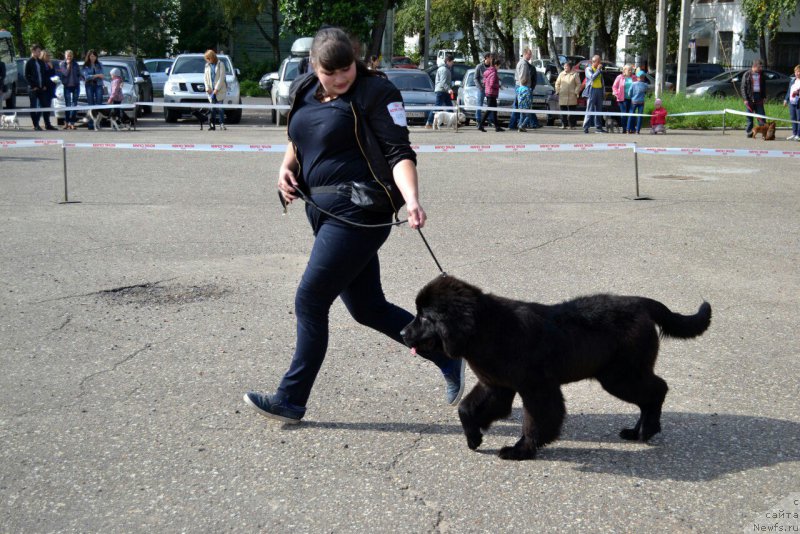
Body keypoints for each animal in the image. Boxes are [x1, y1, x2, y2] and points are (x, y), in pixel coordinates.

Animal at [400, 276, 712, 460]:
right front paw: (474, 438)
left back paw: (648, 430)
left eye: (424, 317)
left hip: (621, 375)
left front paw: (521, 450)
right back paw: (637, 432)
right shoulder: (496, 385)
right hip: (622, 374)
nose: (403, 333)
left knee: (657, 390)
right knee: (650, 395)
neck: (486, 330)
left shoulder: (536, 388)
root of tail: (641, 303)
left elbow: (537, 420)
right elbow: (467, 408)